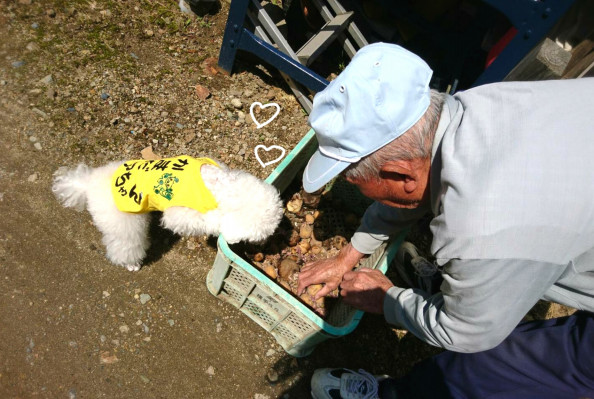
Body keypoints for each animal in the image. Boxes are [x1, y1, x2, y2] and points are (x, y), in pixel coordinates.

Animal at [53, 159, 282, 272]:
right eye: (259, 236)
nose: (263, 246)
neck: (217, 184)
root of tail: (87, 182)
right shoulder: (179, 214)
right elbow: (203, 219)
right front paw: (216, 222)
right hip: (123, 221)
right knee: (124, 245)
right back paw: (131, 264)